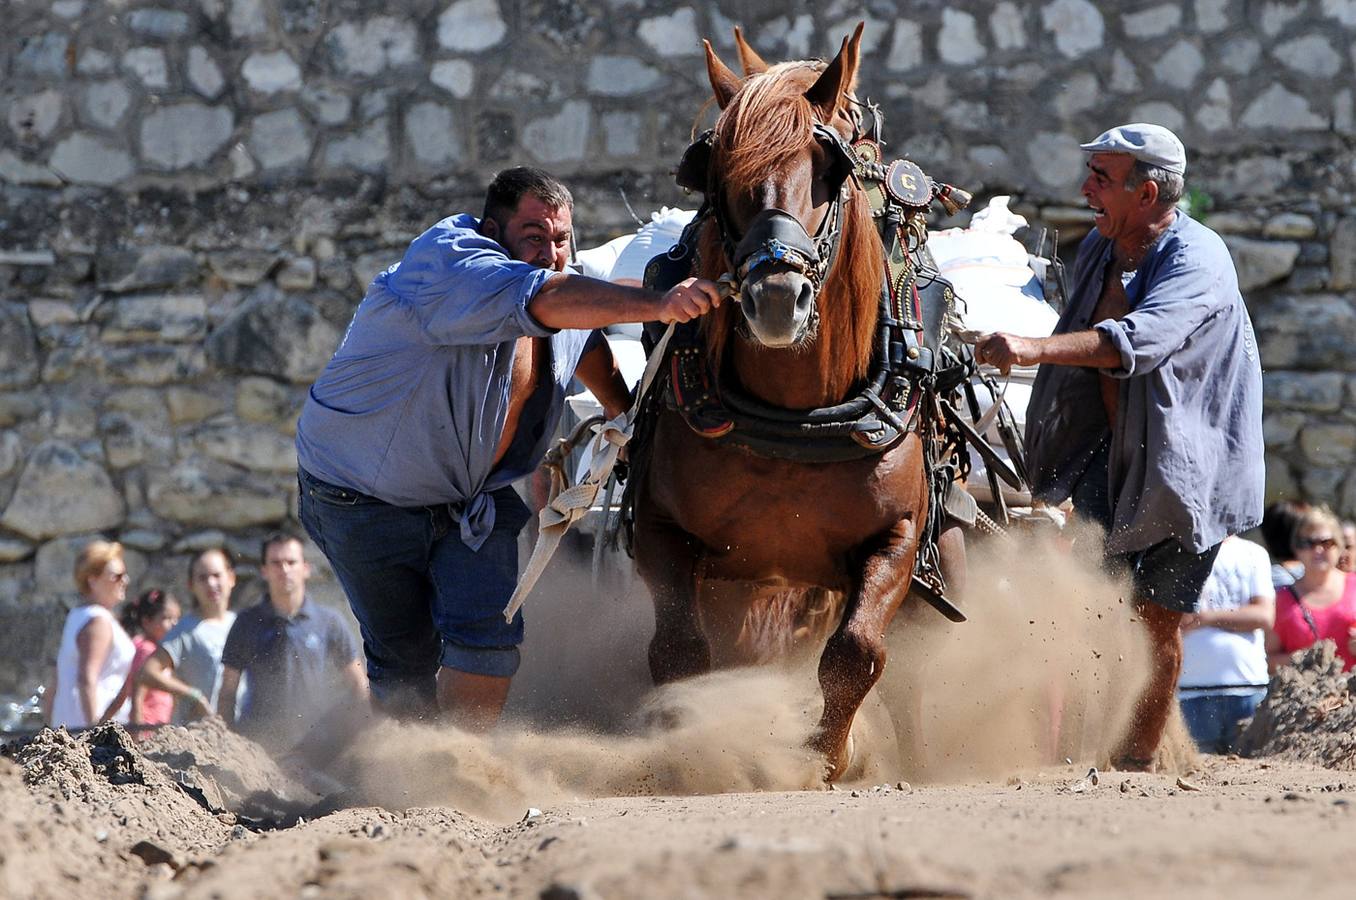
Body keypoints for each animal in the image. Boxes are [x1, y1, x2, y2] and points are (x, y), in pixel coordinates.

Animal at [629, 24, 938, 775]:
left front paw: (826, 757)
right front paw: (686, 746)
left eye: (832, 167)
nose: (776, 296)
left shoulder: (898, 534)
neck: (795, 417)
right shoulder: (660, 531)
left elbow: (857, 651)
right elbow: (679, 651)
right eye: (718, 172)